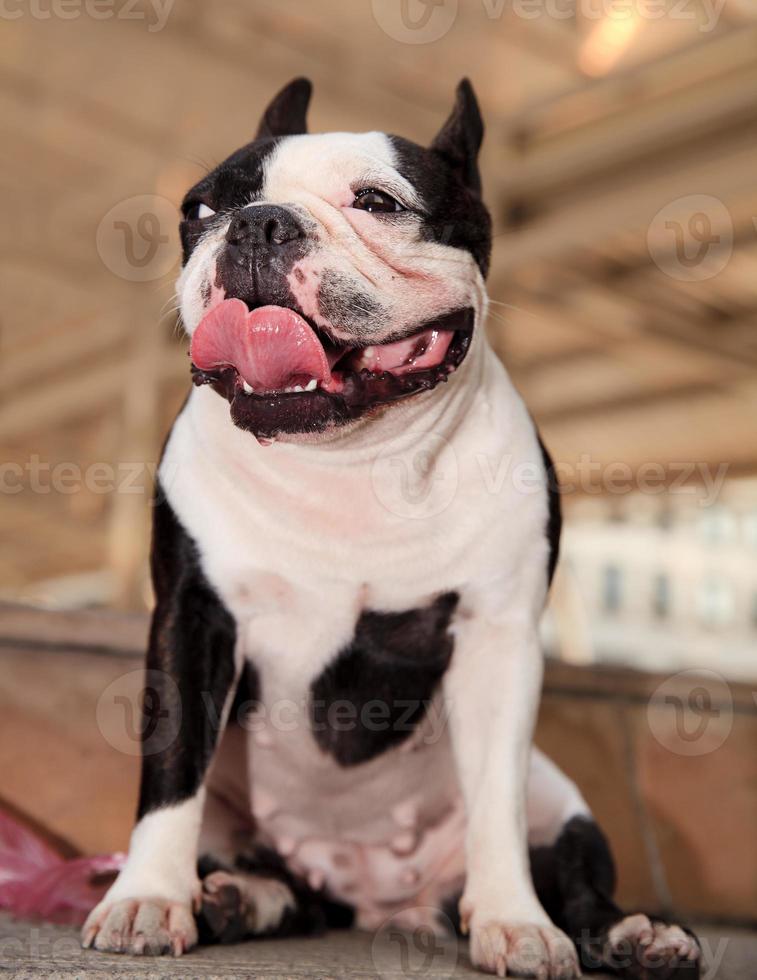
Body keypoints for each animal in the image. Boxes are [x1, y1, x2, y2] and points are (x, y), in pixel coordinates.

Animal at [81, 78, 696, 980]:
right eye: (199, 209)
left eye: (377, 202)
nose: (258, 223)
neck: (350, 461)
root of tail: (374, 902)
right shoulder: (193, 620)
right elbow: (170, 774)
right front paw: (147, 899)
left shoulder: (497, 639)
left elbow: (495, 805)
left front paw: (514, 921)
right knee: (282, 886)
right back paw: (234, 898)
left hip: (560, 800)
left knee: (579, 884)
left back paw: (634, 935)